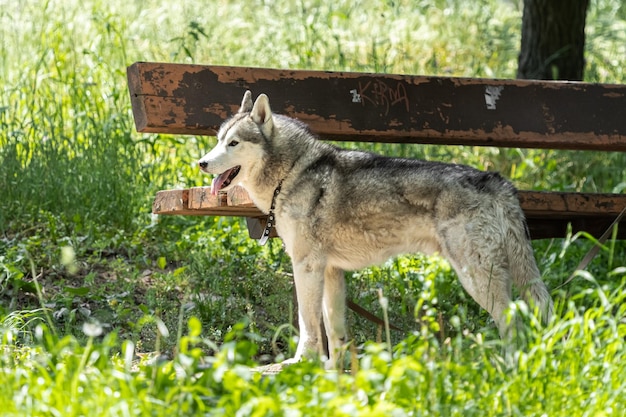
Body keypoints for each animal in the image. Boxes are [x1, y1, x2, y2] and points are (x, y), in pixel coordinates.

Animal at [199, 91, 552, 368]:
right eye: (218, 141)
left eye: (233, 143)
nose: (201, 163)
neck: (292, 173)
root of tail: (498, 181)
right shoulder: (331, 272)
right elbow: (335, 333)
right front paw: (332, 377)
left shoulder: (306, 268)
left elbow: (308, 325)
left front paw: (301, 363)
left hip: (476, 278)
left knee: (513, 321)